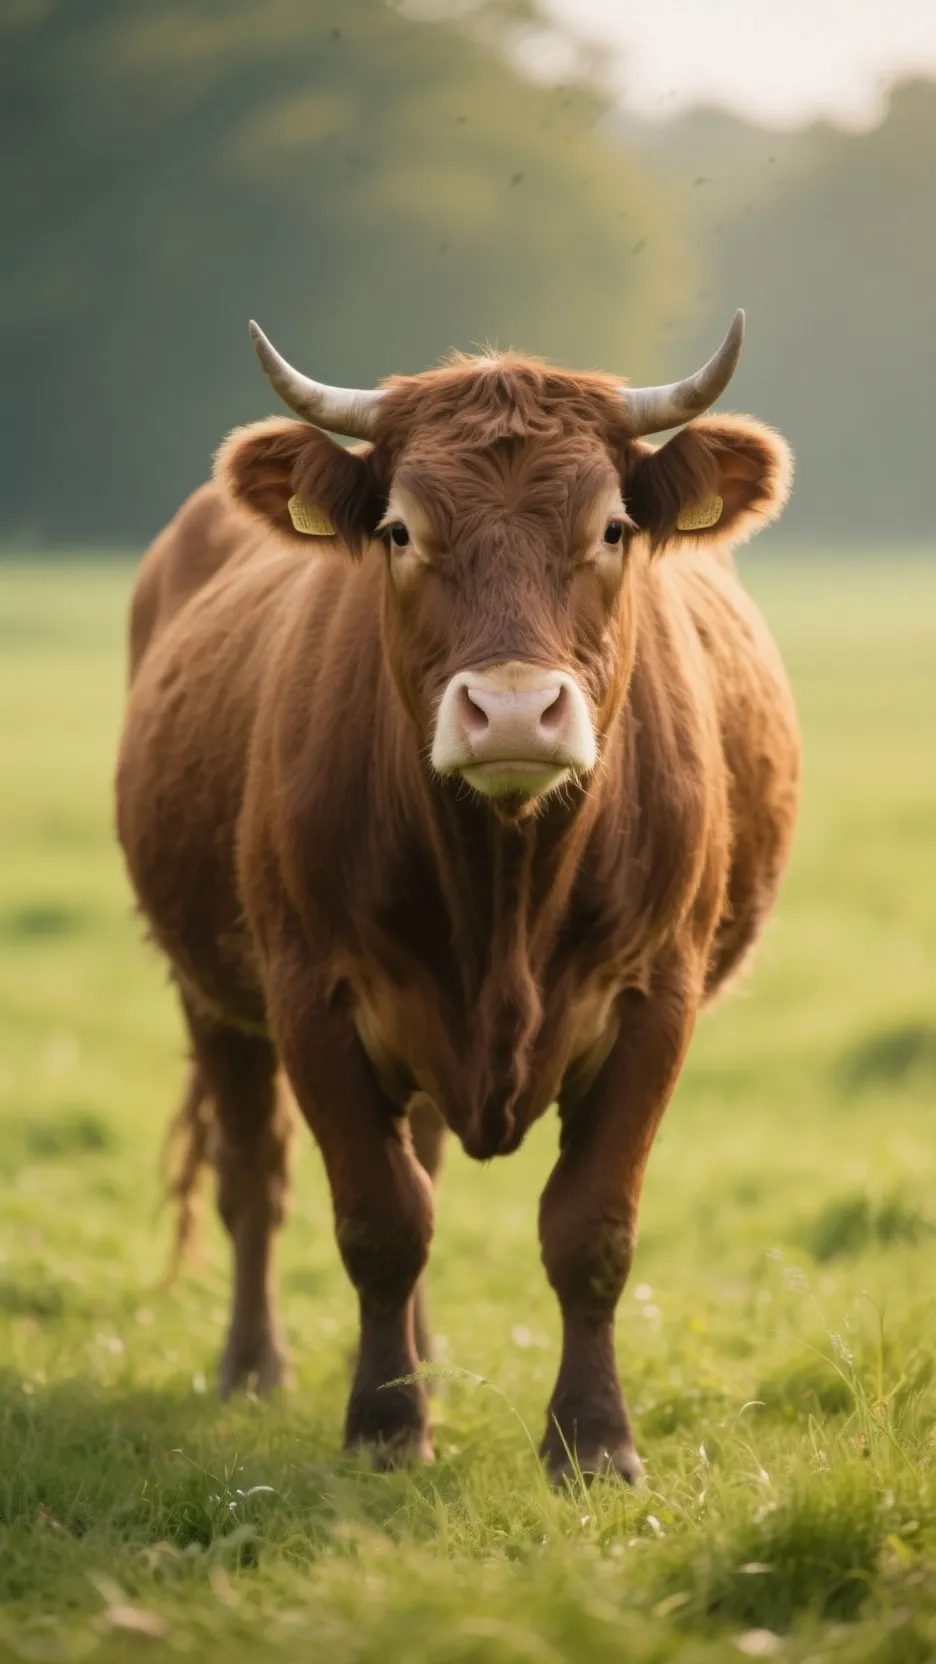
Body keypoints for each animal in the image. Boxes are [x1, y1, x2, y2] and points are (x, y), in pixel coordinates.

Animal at [116, 312, 799, 1482]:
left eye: (613, 527)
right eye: (399, 530)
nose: (515, 711)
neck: (504, 887)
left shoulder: (655, 997)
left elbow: (590, 1228)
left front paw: (593, 1442)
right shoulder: (310, 992)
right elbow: (381, 1220)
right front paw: (388, 1427)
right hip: (211, 992)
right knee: (253, 1176)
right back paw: (255, 1365)